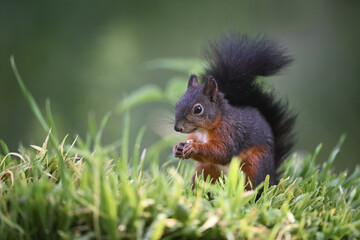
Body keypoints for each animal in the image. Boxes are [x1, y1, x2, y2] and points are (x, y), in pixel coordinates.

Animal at [174, 33, 296, 189]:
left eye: (198, 109)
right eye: (178, 103)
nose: (177, 128)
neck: (203, 130)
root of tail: (273, 178)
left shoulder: (230, 133)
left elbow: (222, 152)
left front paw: (194, 147)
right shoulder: (195, 135)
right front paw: (177, 148)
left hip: (254, 165)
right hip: (205, 169)